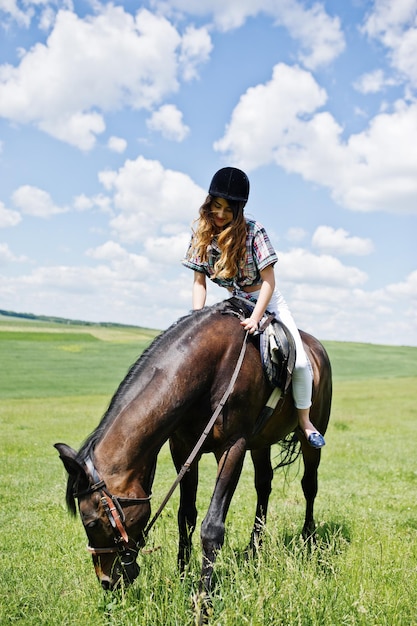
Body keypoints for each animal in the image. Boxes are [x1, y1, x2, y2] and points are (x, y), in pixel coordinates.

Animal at [54, 298, 332, 596]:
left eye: (91, 522)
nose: (106, 581)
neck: (209, 369)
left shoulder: (233, 448)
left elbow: (212, 528)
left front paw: (203, 596)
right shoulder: (184, 448)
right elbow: (185, 515)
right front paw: (182, 575)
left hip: (311, 437)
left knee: (309, 485)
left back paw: (309, 540)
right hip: (261, 442)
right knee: (264, 485)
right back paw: (254, 549)